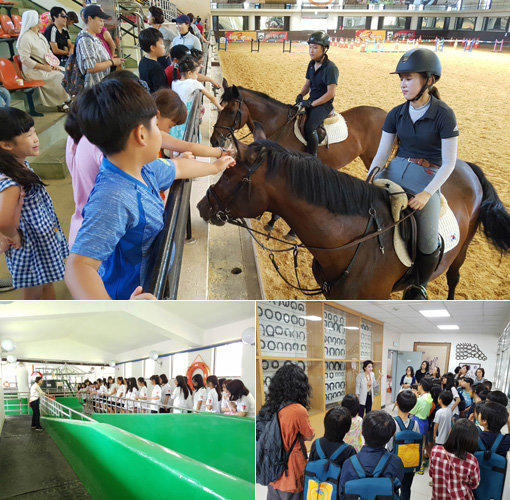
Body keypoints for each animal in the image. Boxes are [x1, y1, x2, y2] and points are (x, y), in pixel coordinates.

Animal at [196, 131, 510, 298]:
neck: (355, 244)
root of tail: (468, 167)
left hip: (461, 250)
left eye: (229, 174)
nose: (201, 206)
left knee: (453, 276)